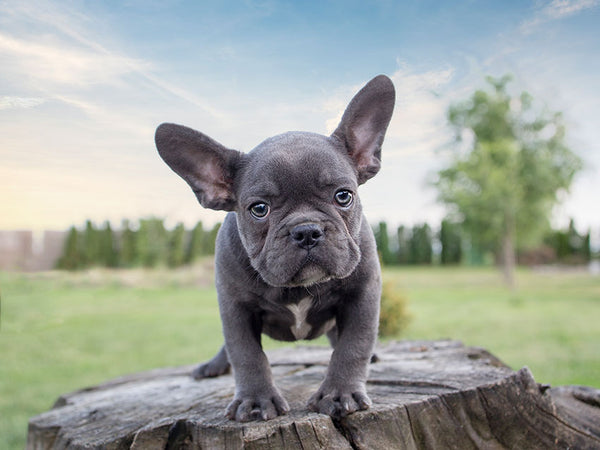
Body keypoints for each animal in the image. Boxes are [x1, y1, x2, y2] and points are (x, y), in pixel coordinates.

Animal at [157, 74, 396, 422]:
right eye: (259, 209)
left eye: (343, 196)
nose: (306, 231)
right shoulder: (235, 307)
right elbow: (246, 355)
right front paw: (256, 400)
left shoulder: (362, 293)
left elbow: (353, 345)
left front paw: (340, 393)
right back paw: (214, 365)